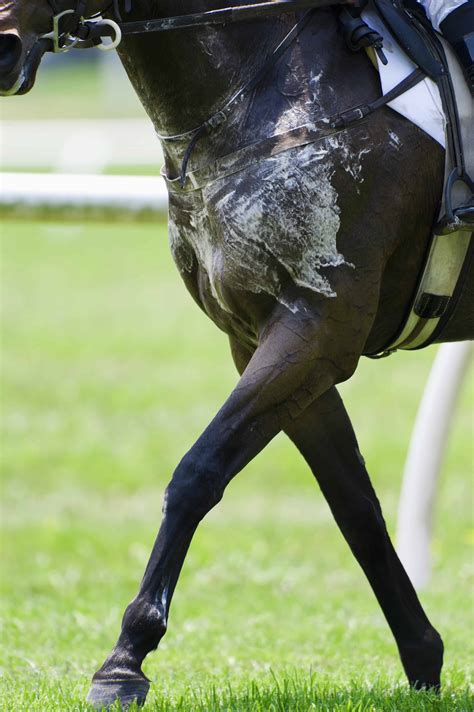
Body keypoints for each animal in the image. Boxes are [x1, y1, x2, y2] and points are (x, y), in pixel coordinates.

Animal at [1, 0, 472, 708]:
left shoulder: (315, 328)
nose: (1, 47)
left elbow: (198, 473)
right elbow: (354, 506)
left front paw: (125, 660)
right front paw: (422, 659)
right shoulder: (265, 342)